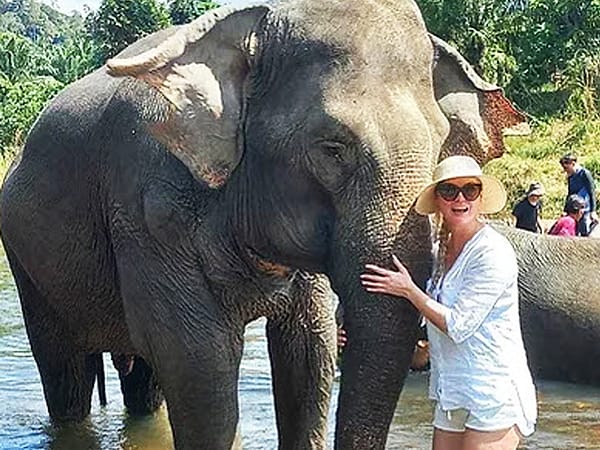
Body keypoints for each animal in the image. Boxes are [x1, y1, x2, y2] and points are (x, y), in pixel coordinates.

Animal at [0, 1, 524, 448]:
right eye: (332, 147)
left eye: (441, 142)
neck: (248, 22)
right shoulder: (147, 210)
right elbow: (198, 360)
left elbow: (309, 351)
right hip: (27, 260)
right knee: (65, 373)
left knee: (143, 384)